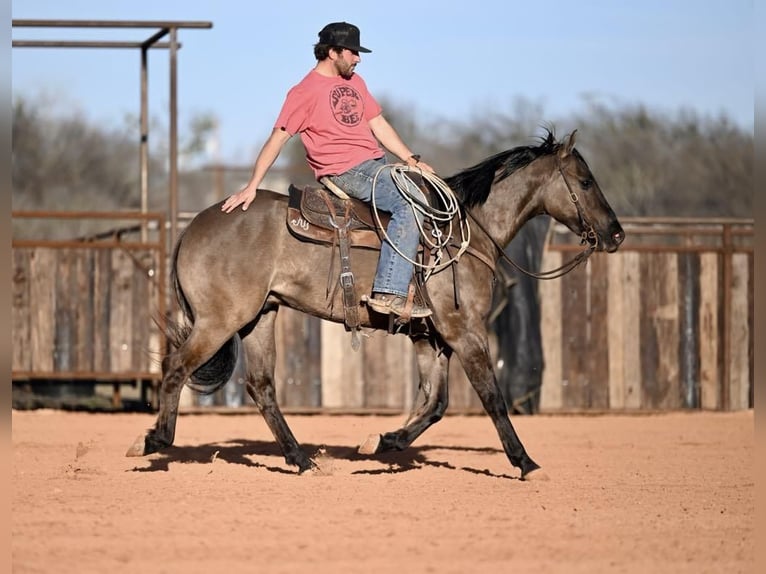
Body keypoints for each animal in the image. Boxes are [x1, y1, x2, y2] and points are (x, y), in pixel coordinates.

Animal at [127, 129, 624, 482]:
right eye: (585, 181)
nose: (616, 233)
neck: (464, 235)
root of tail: (195, 225)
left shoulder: (431, 339)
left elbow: (435, 404)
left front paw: (380, 442)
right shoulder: (464, 331)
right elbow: (492, 399)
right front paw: (525, 462)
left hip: (260, 317)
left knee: (261, 386)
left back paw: (301, 459)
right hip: (219, 320)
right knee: (175, 368)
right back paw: (153, 442)